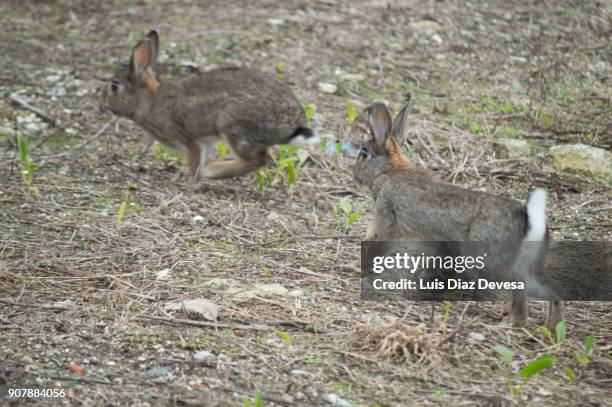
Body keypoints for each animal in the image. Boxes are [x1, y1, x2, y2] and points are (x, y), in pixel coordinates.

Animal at [101, 30, 318, 186]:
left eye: (114, 86)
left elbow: (195, 162)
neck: (149, 100)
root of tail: (293, 123)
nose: (103, 102)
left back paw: (213, 170)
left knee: (258, 160)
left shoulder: (187, 138)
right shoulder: (205, 142)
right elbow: (201, 159)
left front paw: (189, 185)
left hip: (233, 126)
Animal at [354, 100, 564, 330]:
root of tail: (528, 220)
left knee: (518, 283)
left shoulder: (385, 216)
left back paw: (511, 323)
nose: (355, 174)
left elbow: (374, 246)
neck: (388, 170)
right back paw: (552, 326)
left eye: (364, 153)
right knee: (550, 289)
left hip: (487, 257)